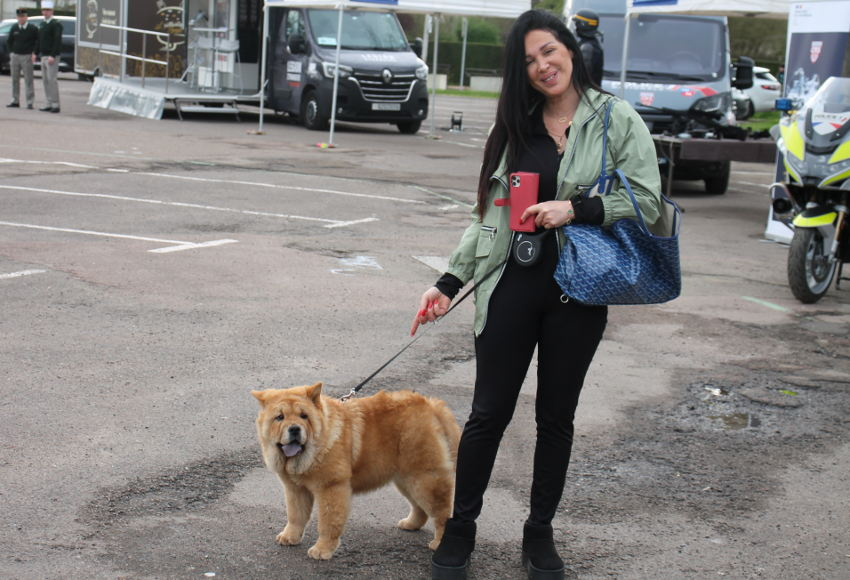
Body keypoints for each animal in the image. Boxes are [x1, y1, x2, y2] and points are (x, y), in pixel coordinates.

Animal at [252, 382, 460, 560]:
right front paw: (290, 537)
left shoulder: (331, 487)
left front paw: (322, 550)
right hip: (405, 479)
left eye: (304, 416)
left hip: (423, 477)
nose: (294, 429)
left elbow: (328, 522)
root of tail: (430, 405)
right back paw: (410, 524)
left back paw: (439, 543)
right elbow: (295, 516)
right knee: (419, 507)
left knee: (441, 511)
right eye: (279, 417)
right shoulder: (296, 489)